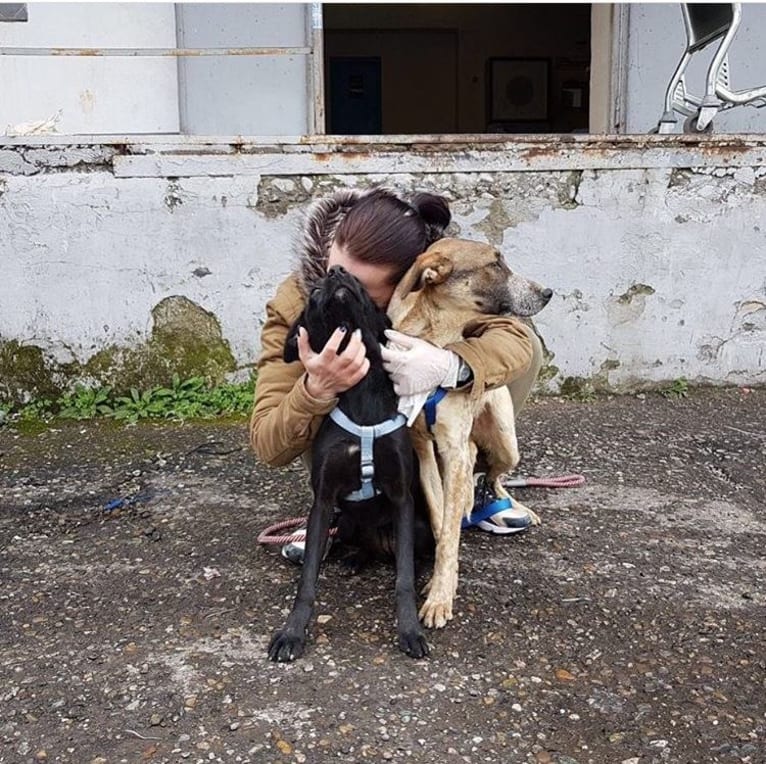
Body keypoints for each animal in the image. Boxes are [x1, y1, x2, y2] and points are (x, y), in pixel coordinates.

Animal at [268, 268, 428, 664]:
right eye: (313, 294)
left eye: (363, 286)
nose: (336, 271)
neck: (362, 392)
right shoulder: (324, 501)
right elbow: (308, 580)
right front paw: (292, 633)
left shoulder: (402, 497)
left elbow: (403, 578)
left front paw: (410, 629)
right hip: (346, 521)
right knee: (359, 544)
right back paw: (355, 559)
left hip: (416, 526)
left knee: (407, 557)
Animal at [390, 237, 552, 628]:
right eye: (495, 264)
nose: (548, 292)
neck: (437, 338)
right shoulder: (423, 450)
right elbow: (441, 523)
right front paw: (441, 583)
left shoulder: (452, 447)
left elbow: (450, 533)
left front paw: (440, 596)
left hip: (507, 442)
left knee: (494, 475)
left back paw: (513, 507)